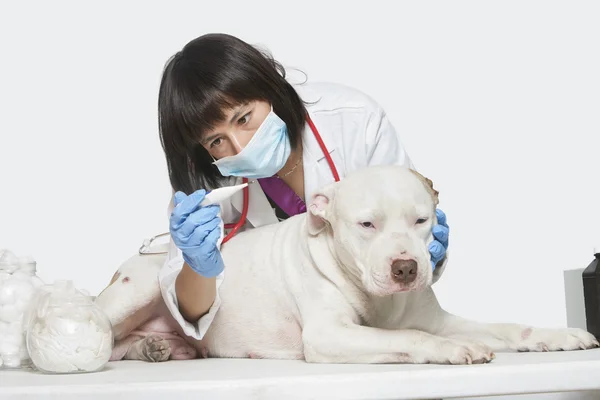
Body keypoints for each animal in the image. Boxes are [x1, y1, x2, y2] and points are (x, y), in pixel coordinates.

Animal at [96, 164, 596, 364]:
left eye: (422, 220)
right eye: (367, 224)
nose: (405, 268)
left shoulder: (439, 320)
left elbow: (511, 328)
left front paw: (561, 335)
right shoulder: (329, 335)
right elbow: (410, 338)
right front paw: (454, 351)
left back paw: (157, 349)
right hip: (138, 288)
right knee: (103, 329)